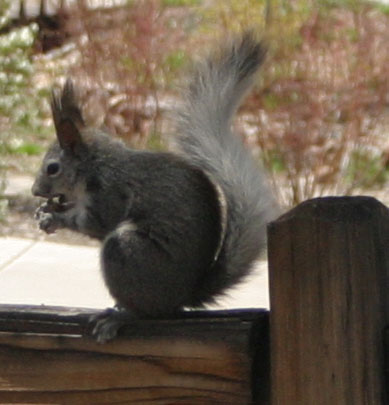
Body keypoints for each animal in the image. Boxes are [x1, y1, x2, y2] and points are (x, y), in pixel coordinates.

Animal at [31, 31, 278, 340]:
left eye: (52, 168)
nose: (35, 191)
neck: (95, 165)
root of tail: (181, 298)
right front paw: (44, 212)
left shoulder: (111, 193)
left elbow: (97, 222)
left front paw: (55, 217)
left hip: (129, 253)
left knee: (145, 311)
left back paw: (120, 316)